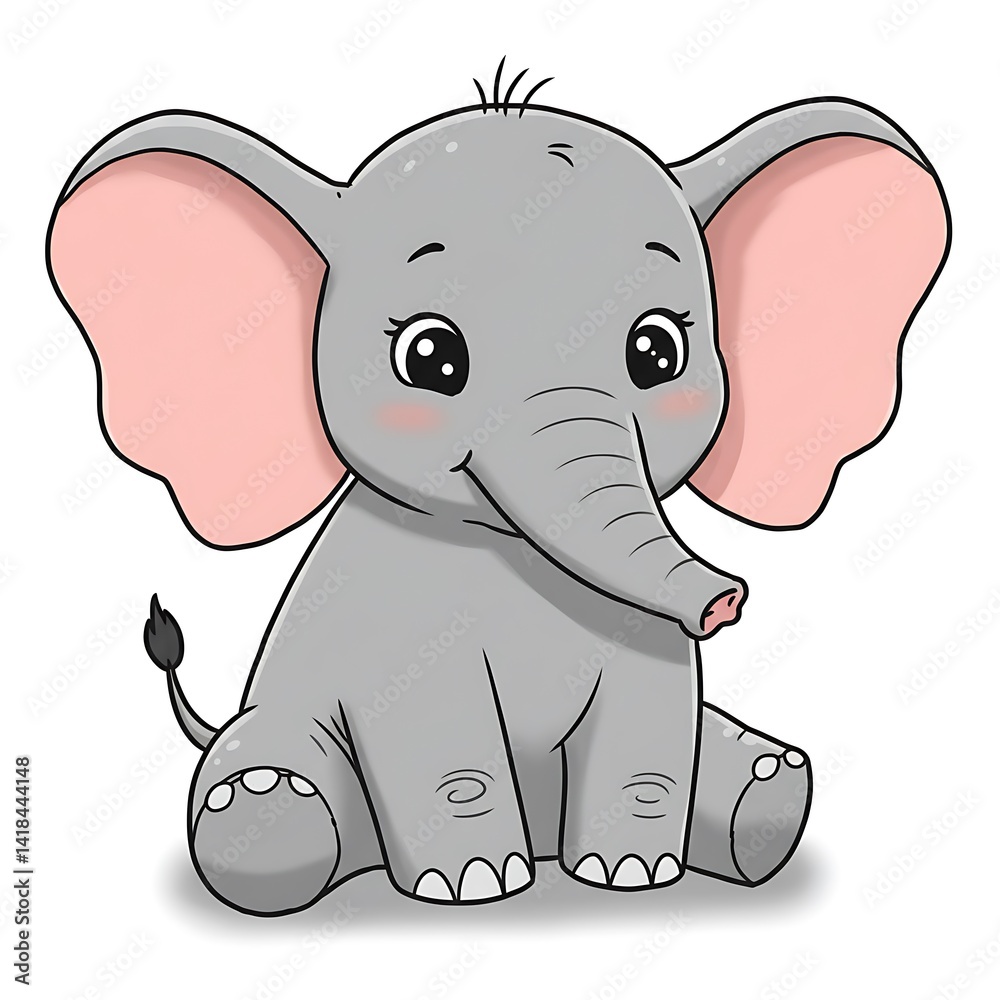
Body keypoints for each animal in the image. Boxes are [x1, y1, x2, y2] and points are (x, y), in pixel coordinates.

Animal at [47, 68, 949, 916]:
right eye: (430, 358)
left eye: (658, 352)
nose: (727, 599)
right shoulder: (389, 614)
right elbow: (431, 723)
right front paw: (474, 886)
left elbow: (653, 717)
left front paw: (631, 876)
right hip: (277, 728)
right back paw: (269, 809)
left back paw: (770, 788)